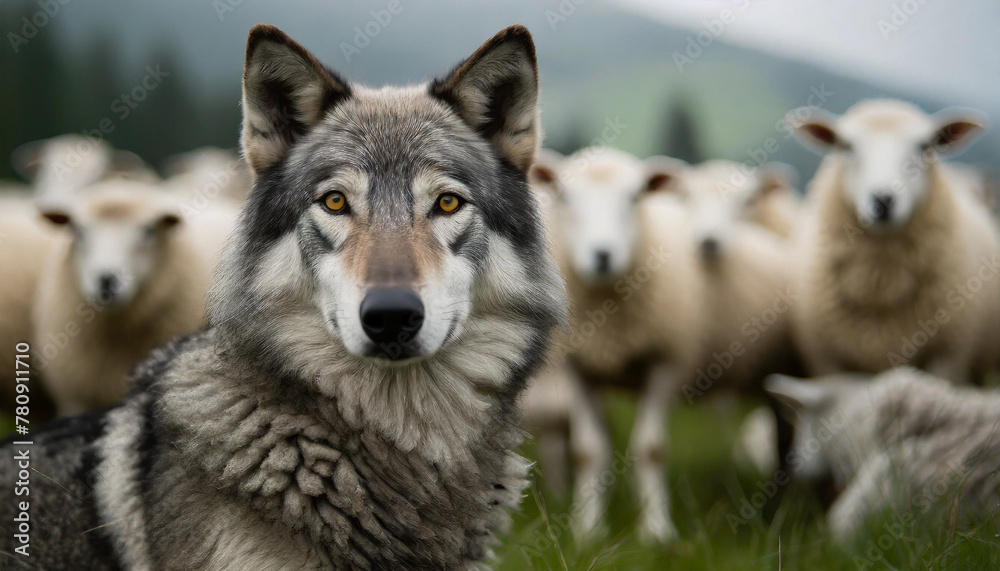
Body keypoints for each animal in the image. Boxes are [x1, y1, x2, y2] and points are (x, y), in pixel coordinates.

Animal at [527, 147, 705, 543]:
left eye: (634, 197)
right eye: (564, 196)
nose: (602, 255)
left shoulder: (664, 363)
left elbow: (652, 449)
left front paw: (656, 529)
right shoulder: (575, 368)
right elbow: (588, 451)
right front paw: (587, 529)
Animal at [789, 100, 999, 384]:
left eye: (924, 146)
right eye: (846, 146)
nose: (883, 199)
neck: (882, 280)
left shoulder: (948, 356)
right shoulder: (826, 361)